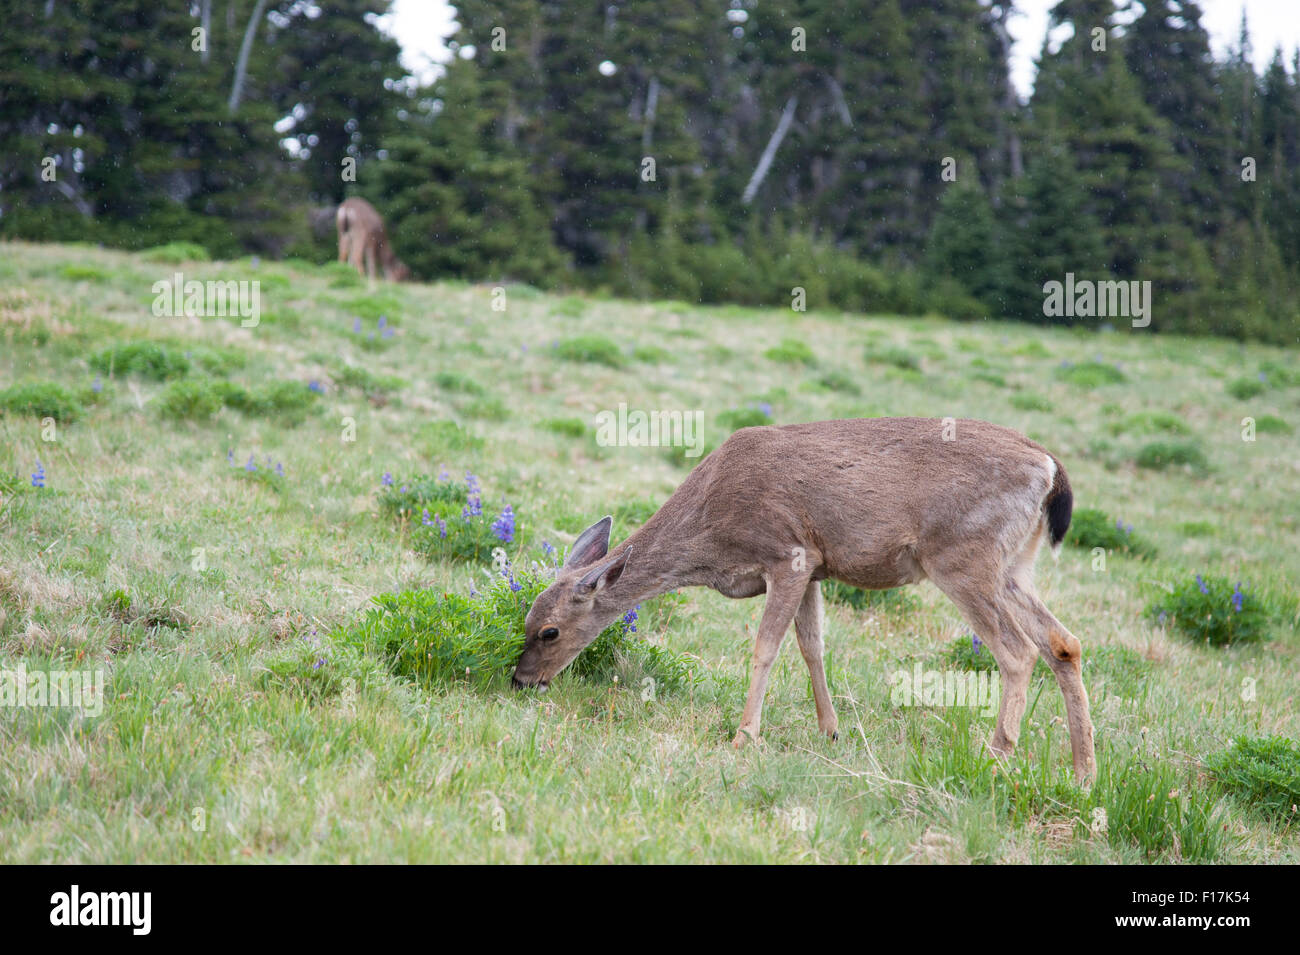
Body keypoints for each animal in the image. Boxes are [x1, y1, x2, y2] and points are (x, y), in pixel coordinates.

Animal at [514, 415, 1097, 784]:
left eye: (549, 631)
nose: (521, 680)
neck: (709, 534)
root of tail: (1051, 468)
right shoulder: (816, 566)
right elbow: (812, 645)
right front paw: (830, 730)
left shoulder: (787, 554)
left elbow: (766, 646)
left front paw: (744, 736)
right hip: (1014, 565)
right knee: (1064, 643)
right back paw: (1083, 772)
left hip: (962, 556)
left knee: (1017, 652)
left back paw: (996, 755)